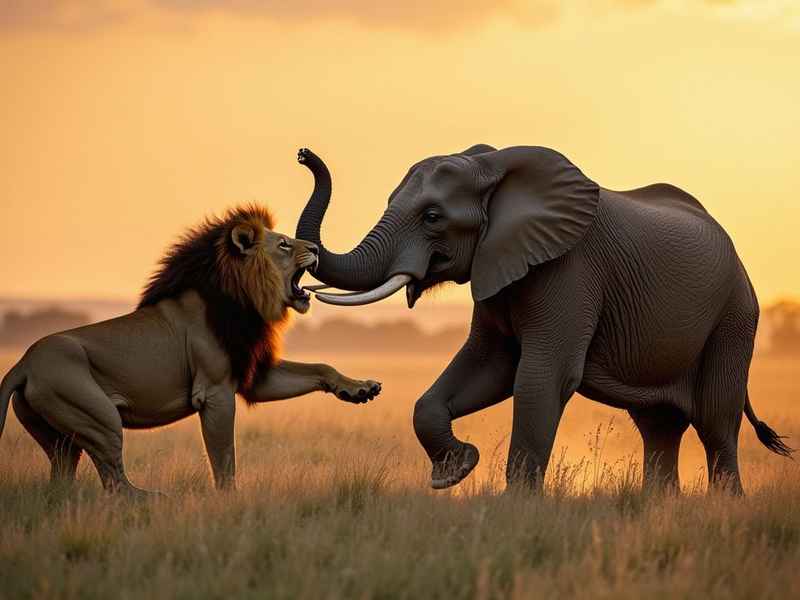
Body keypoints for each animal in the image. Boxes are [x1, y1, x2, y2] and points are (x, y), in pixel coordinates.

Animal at [294, 145, 792, 493]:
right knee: (659, 426)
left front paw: (514, 506)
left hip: (734, 315)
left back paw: (725, 506)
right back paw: (657, 507)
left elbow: (541, 377)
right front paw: (456, 471)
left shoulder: (570, 269)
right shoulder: (498, 266)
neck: (491, 168)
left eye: (433, 216)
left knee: (715, 423)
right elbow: (488, 368)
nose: (303, 155)